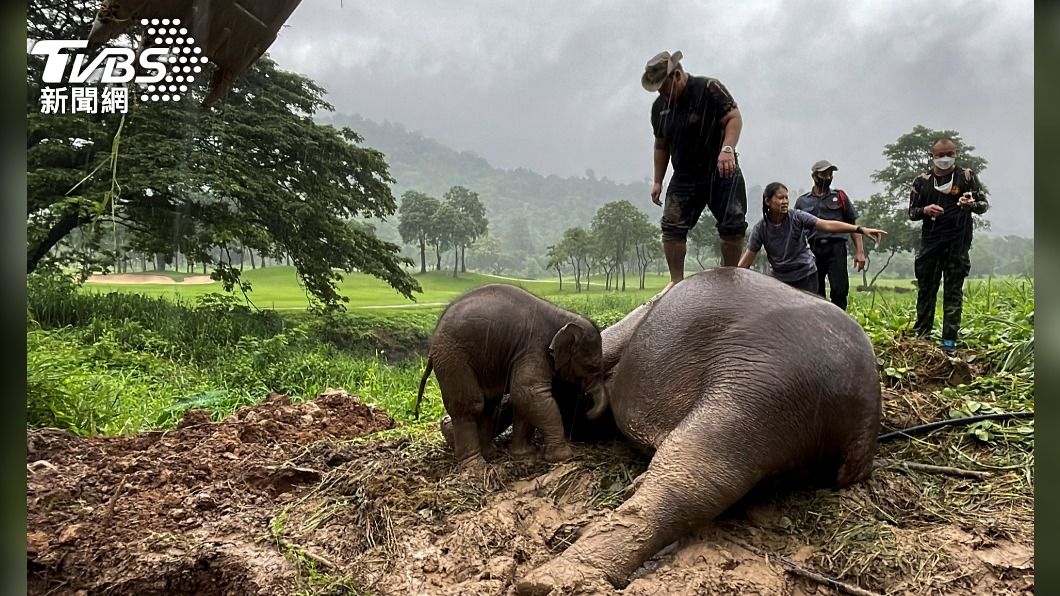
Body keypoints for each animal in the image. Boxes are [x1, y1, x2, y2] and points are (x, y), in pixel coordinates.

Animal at [415, 284, 610, 469]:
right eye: (592, 366)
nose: (588, 412)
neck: (562, 316)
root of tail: (432, 342)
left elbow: (521, 399)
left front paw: (525, 455)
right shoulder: (534, 347)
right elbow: (528, 393)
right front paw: (563, 457)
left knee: (489, 404)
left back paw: (490, 455)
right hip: (452, 357)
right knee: (470, 405)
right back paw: (475, 466)